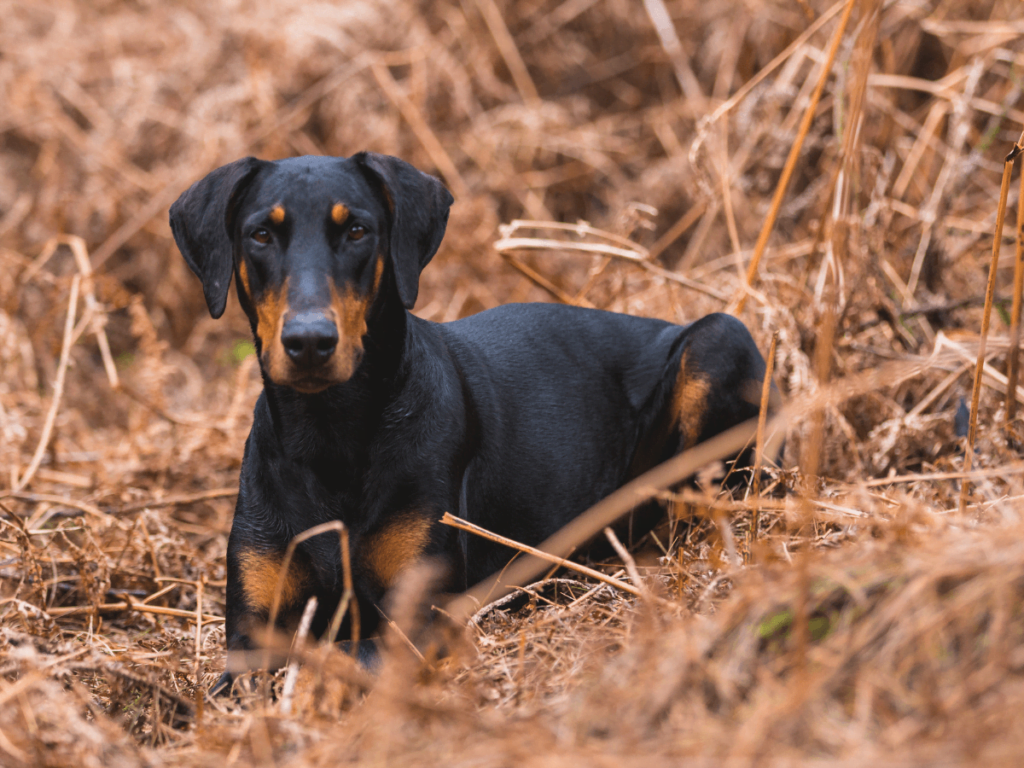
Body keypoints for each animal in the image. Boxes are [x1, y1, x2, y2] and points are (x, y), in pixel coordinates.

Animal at [169, 151, 770, 692]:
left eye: (358, 231)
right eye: (261, 235)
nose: (310, 342)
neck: (330, 433)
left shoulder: (420, 615)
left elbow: (343, 655)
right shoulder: (251, 629)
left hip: (718, 339)